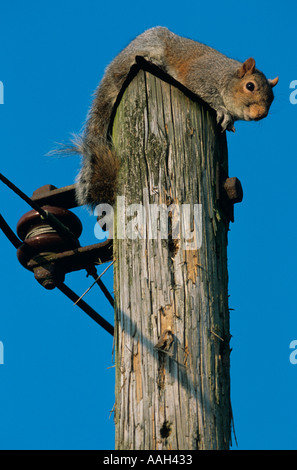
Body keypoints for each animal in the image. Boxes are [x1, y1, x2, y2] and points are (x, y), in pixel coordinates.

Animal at [72, 26, 278, 207]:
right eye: (250, 86)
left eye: (273, 98)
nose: (262, 114)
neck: (225, 77)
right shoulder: (200, 75)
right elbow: (205, 92)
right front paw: (222, 112)